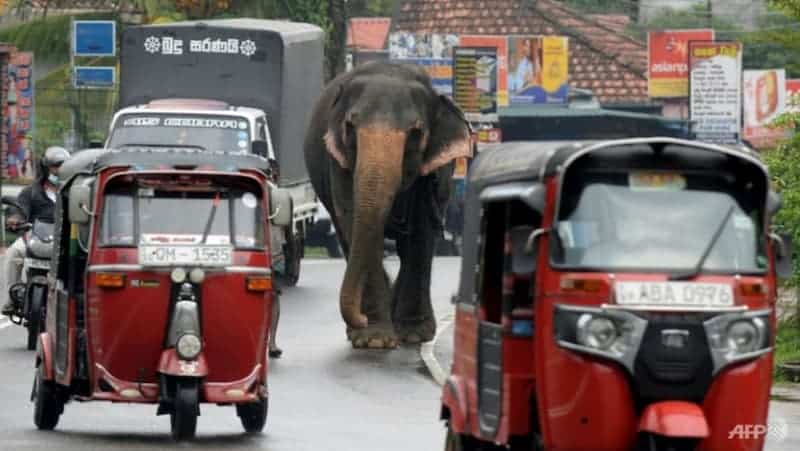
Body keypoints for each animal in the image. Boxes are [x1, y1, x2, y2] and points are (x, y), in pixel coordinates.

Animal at [304, 61, 472, 350]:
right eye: (350, 127)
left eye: (416, 133)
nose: (359, 319)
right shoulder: (338, 163)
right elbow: (354, 220)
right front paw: (373, 339)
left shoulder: (431, 175)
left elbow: (420, 233)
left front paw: (414, 335)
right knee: (347, 238)